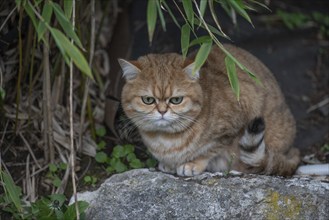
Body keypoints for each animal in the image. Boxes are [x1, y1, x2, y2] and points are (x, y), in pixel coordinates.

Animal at [118, 44, 300, 177]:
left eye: (176, 100)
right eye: (148, 100)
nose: (162, 112)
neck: (164, 139)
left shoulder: (232, 126)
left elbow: (209, 150)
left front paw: (193, 164)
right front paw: (169, 164)